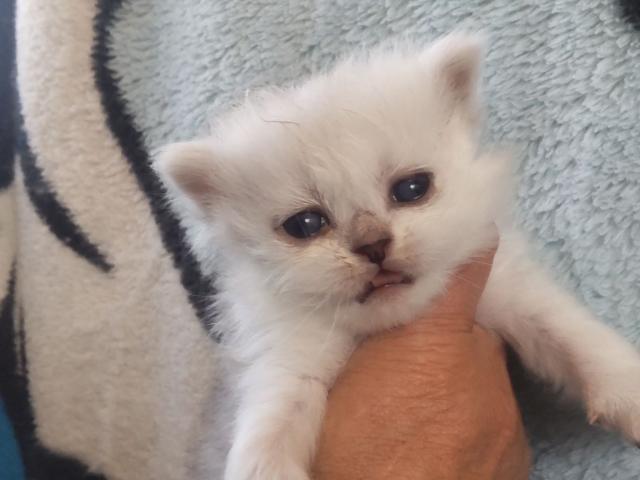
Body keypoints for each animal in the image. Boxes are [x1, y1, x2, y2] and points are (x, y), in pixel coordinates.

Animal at [155, 34, 640, 480]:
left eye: (411, 189)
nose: (373, 246)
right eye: (305, 224)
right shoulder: (289, 360)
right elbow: (269, 432)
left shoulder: (509, 289)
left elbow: (570, 334)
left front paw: (628, 394)